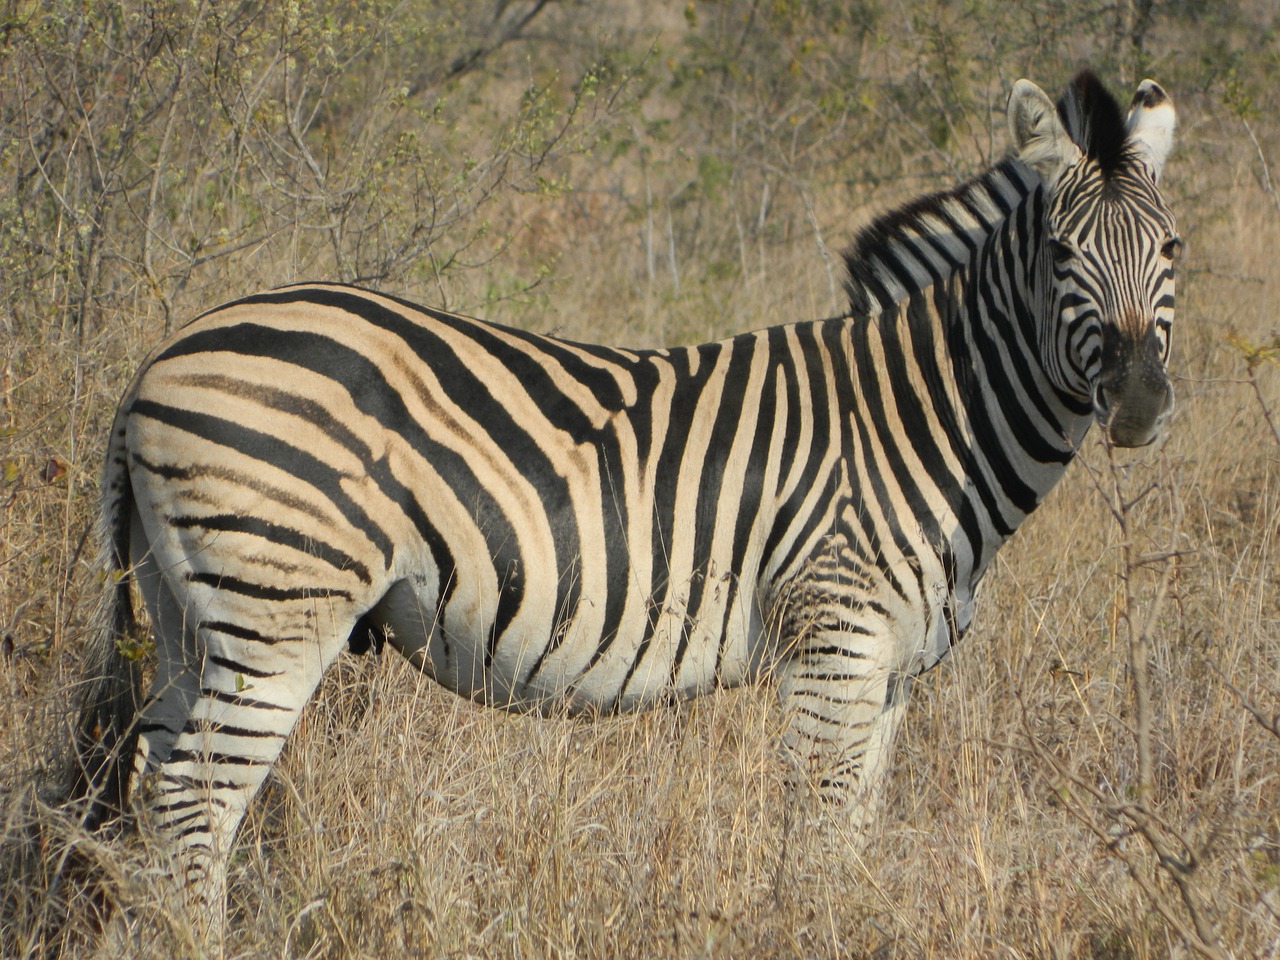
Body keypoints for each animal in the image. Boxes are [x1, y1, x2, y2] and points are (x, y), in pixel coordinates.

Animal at [70, 73, 1177, 931]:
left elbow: (855, 837)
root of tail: (156, 362)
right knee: (196, 805)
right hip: (276, 605)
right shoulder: (835, 644)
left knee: (152, 785)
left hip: (187, 608)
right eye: (1061, 256)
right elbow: (818, 840)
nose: (1135, 402)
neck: (921, 417)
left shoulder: (892, 672)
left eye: (1170, 254)